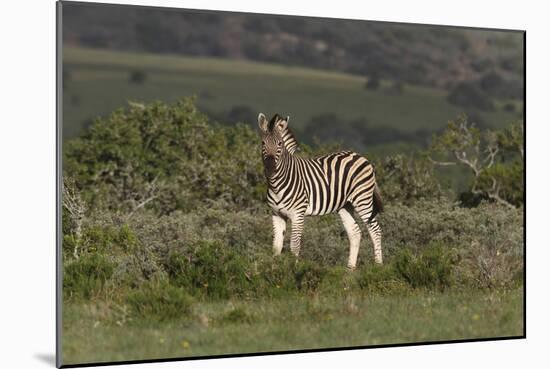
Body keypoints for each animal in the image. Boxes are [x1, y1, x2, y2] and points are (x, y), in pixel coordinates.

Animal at [258, 110, 384, 268]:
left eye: (280, 143)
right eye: (263, 143)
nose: (270, 167)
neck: (277, 184)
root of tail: (360, 156)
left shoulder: (298, 214)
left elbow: (294, 246)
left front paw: (293, 269)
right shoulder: (276, 214)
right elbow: (276, 247)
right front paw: (274, 269)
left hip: (362, 199)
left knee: (375, 230)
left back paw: (378, 266)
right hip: (345, 205)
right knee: (355, 232)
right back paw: (350, 269)